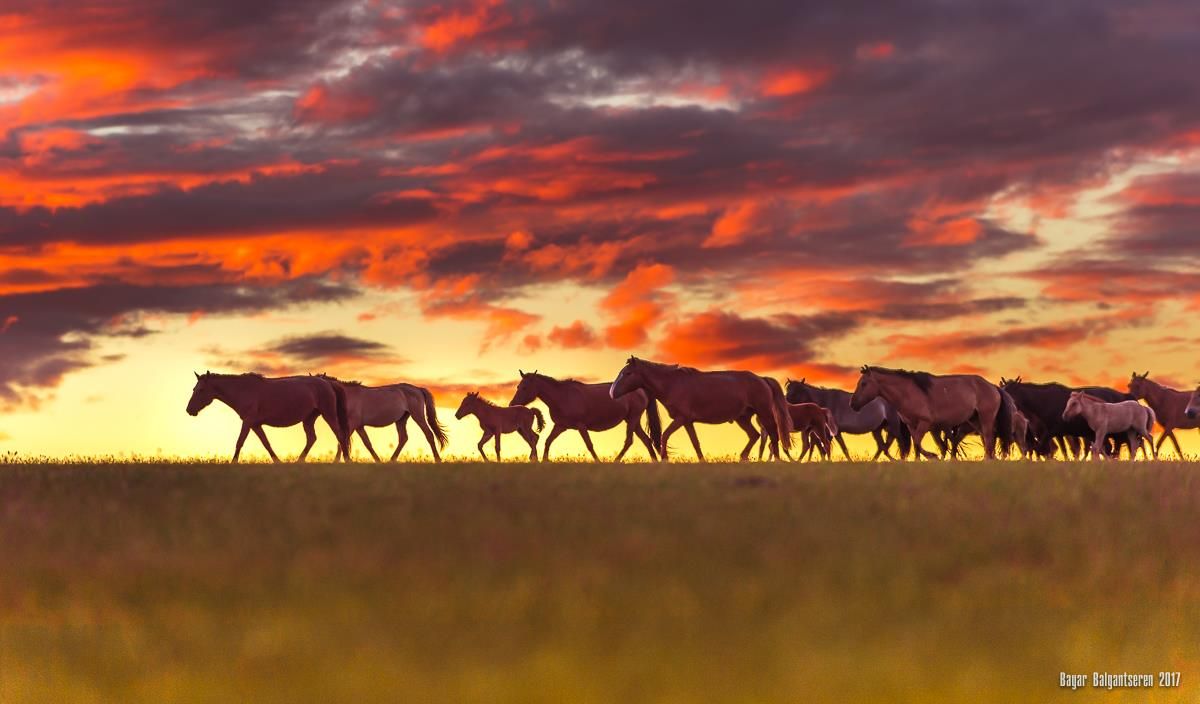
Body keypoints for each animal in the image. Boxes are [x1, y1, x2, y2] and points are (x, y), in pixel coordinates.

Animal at [183, 371, 348, 465]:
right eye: (194, 389)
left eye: (201, 390)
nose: (189, 410)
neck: (243, 390)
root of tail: (327, 382)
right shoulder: (256, 424)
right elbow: (266, 444)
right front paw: (278, 462)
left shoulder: (248, 422)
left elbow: (239, 442)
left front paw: (233, 462)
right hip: (308, 419)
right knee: (312, 438)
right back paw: (299, 461)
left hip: (328, 414)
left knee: (340, 435)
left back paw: (346, 459)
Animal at [316, 376, 448, 465]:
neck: (347, 395)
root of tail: (418, 389)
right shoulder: (359, 427)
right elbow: (367, 443)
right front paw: (377, 460)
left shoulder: (352, 425)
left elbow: (342, 441)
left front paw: (337, 460)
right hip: (401, 420)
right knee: (403, 438)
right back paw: (391, 460)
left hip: (418, 416)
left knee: (429, 434)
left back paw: (437, 459)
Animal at [504, 369, 662, 462]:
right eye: (518, 386)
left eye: (524, 387)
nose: (512, 404)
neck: (562, 396)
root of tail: (641, 389)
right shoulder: (560, 426)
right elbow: (548, 441)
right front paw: (543, 461)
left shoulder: (581, 426)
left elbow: (589, 445)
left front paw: (598, 461)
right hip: (633, 420)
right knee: (646, 440)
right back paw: (655, 461)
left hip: (632, 419)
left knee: (629, 441)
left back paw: (616, 461)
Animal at [604, 357, 792, 462]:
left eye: (628, 373)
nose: (612, 393)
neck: (672, 383)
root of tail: (762, 378)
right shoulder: (687, 422)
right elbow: (695, 443)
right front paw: (702, 460)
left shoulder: (680, 419)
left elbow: (665, 435)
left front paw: (665, 458)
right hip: (742, 418)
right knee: (754, 435)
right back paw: (743, 457)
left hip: (764, 413)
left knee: (773, 435)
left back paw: (776, 459)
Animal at [844, 366, 1012, 460]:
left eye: (864, 383)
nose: (852, 404)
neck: (908, 392)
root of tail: (993, 387)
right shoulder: (912, 425)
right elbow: (917, 444)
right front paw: (921, 460)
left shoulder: (925, 423)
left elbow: (919, 443)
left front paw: (933, 456)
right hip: (975, 420)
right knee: (988, 440)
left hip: (985, 418)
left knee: (989, 439)